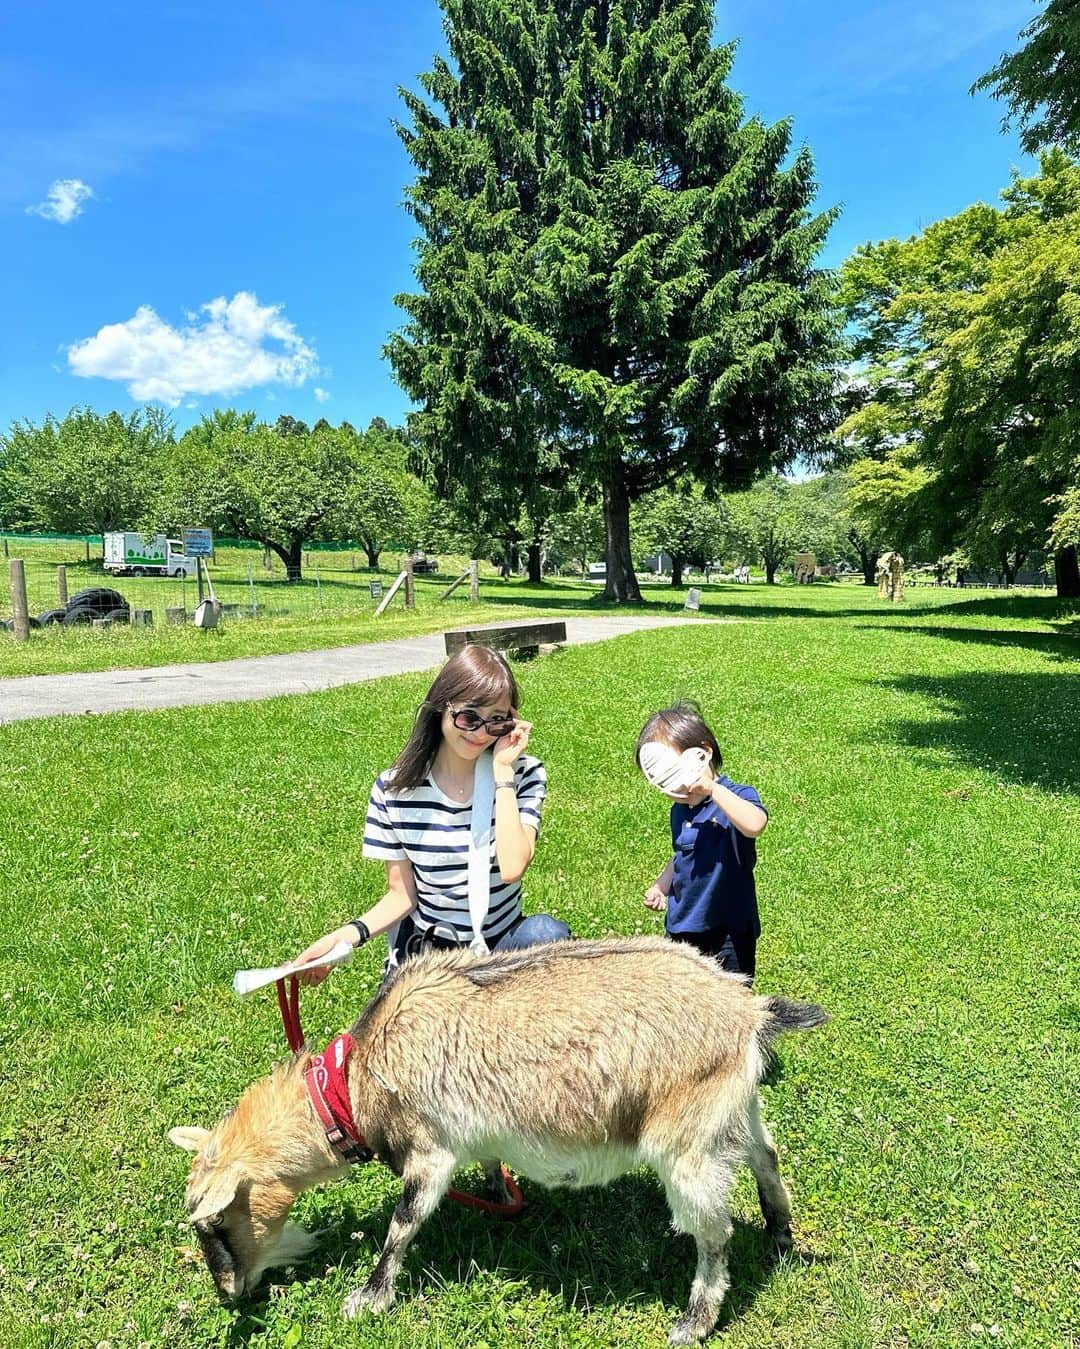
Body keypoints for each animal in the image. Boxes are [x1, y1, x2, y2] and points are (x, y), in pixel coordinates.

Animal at [170, 933, 825, 1343]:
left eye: (214, 1223)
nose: (229, 1293)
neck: (353, 1087)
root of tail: (748, 1011)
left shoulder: (428, 1150)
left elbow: (402, 1224)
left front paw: (369, 1297)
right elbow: (486, 1168)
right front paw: (500, 1198)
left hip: (685, 1140)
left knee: (714, 1233)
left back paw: (694, 1321)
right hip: (733, 1108)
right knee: (766, 1155)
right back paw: (780, 1233)